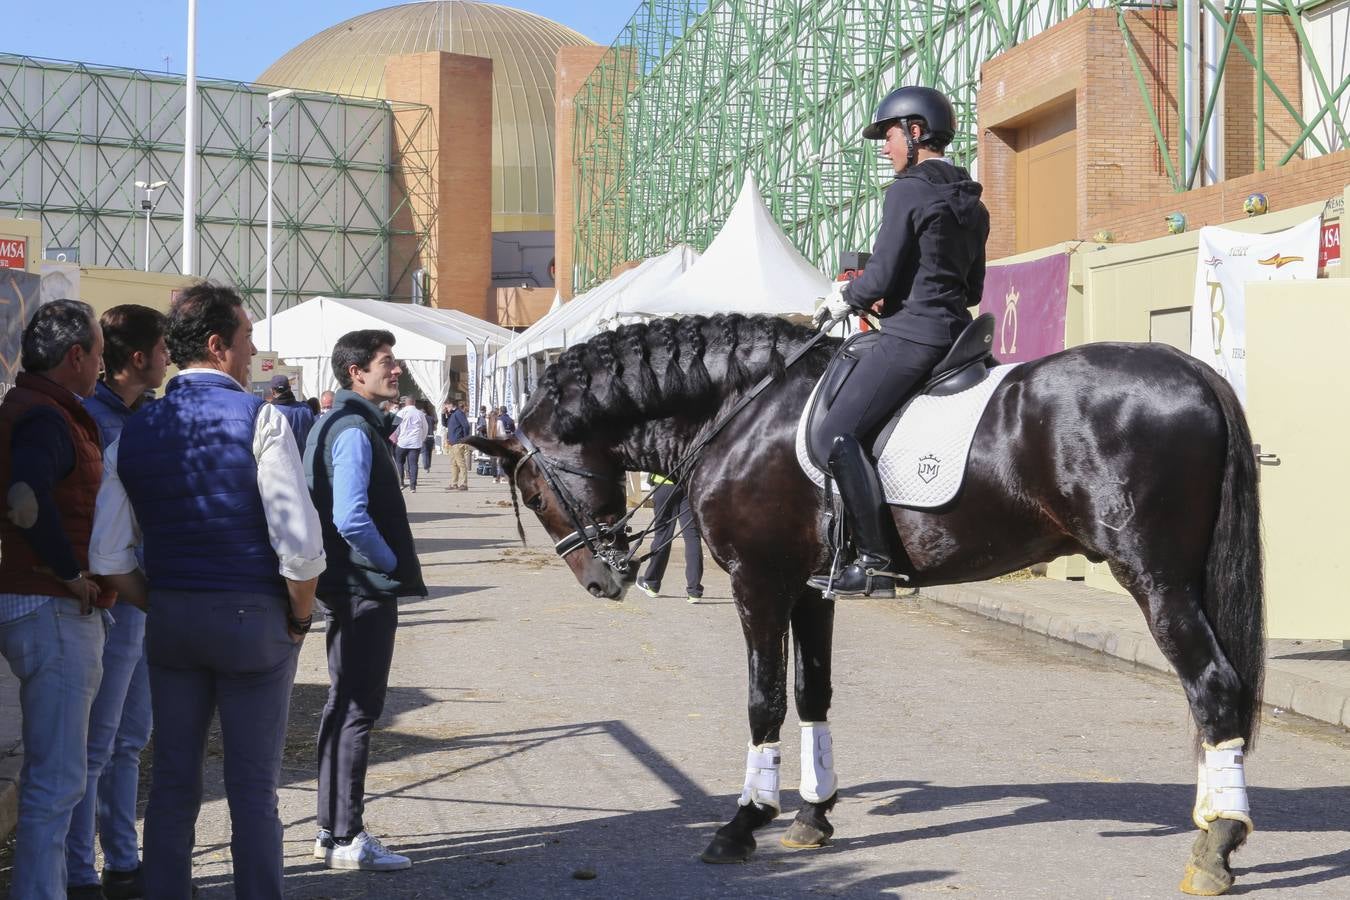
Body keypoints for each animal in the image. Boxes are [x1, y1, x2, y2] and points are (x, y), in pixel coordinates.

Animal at [467, 313, 1263, 895]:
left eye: (532, 487)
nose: (601, 580)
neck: (743, 411)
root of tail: (1193, 370)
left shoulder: (759, 582)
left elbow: (763, 699)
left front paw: (743, 822)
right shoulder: (809, 589)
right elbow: (812, 694)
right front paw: (812, 815)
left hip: (1156, 580)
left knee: (1213, 688)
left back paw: (1217, 846)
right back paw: (1213, 822)